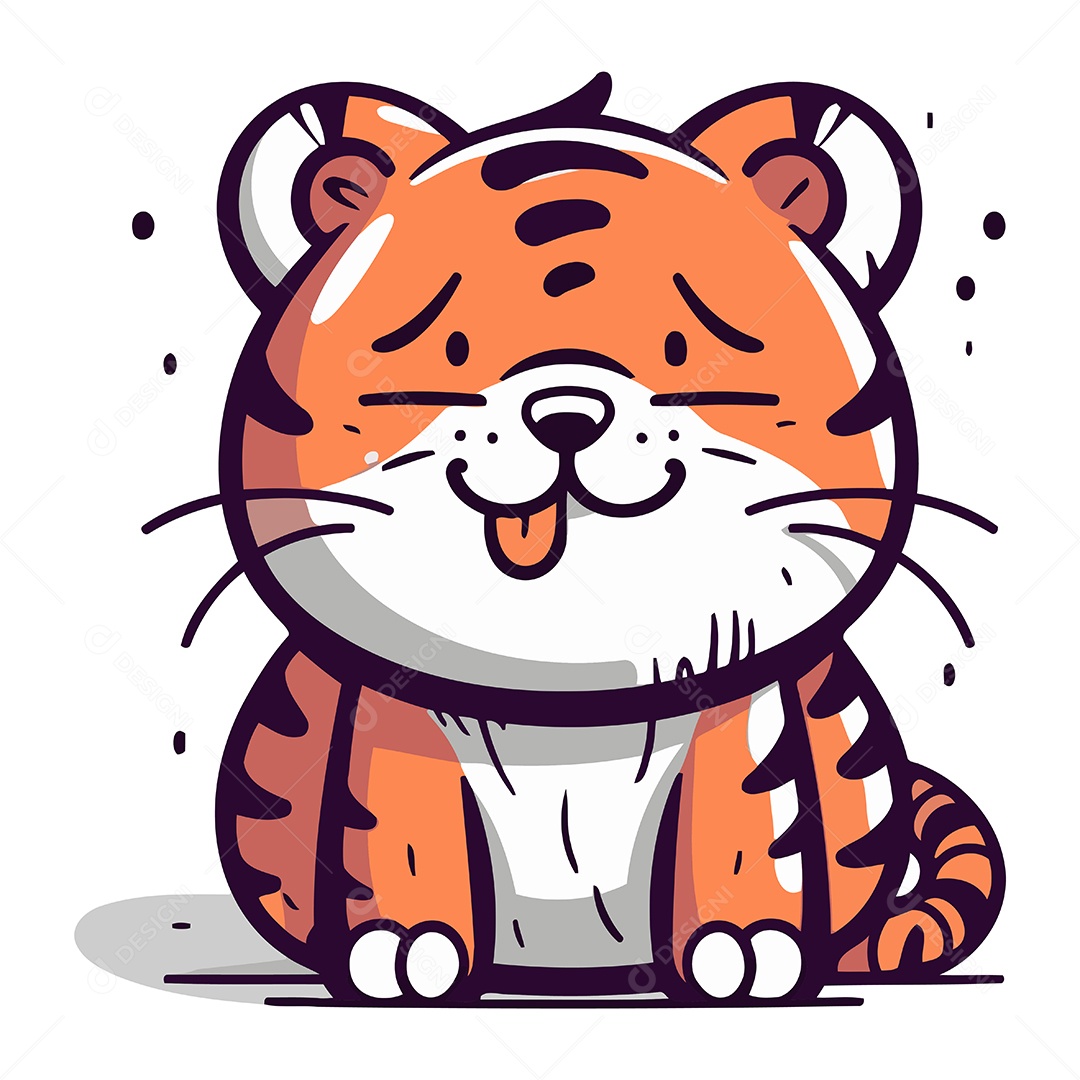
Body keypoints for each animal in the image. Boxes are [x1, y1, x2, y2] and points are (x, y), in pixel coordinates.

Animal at [162, 73, 1005, 1002]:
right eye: (454, 349)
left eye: (680, 350)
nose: (566, 413)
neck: (568, 699)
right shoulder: (398, 723)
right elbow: (404, 838)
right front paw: (406, 948)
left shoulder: (741, 719)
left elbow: (742, 832)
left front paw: (745, 948)